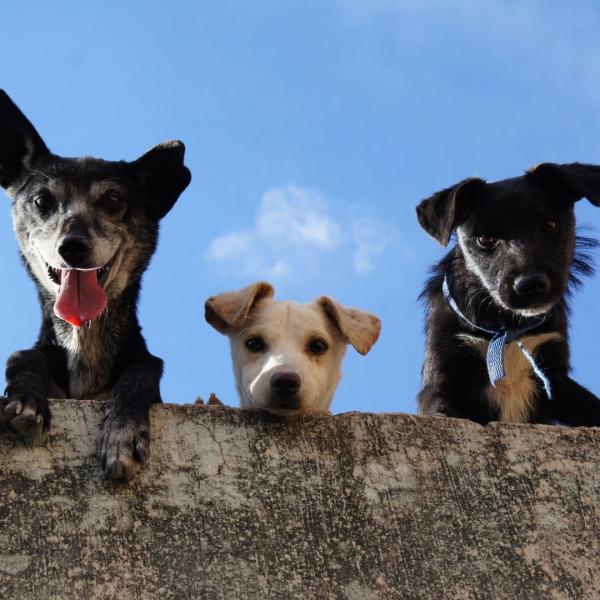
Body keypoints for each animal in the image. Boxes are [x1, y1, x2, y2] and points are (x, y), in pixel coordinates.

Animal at [0, 91, 191, 480]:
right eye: (42, 200)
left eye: (113, 200)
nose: (72, 247)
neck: (83, 340)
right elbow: (20, 357)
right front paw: (27, 399)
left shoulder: (144, 370)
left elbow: (140, 372)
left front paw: (123, 433)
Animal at [418, 164, 600, 424]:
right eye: (485, 238)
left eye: (549, 224)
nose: (530, 285)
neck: (506, 327)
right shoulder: (443, 374)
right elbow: (440, 410)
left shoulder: (555, 376)